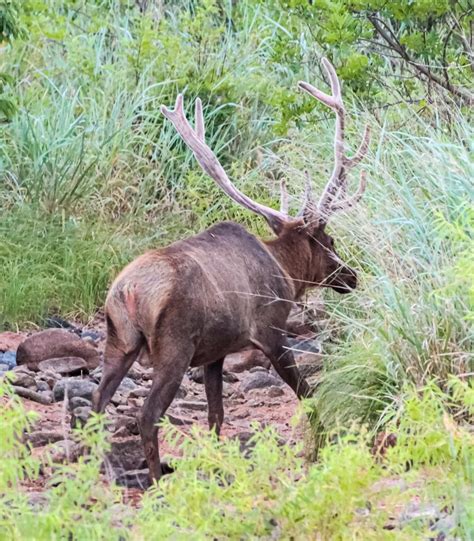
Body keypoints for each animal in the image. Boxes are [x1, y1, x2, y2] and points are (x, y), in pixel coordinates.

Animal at [91, 59, 370, 480]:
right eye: (331, 241)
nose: (351, 277)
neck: (287, 272)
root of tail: (127, 292)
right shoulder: (270, 330)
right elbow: (307, 395)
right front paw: (319, 448)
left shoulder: (215, 352)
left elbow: (216, 415)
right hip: (173, 346)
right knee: (147, 414)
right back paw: (155, 481)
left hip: (119, 341)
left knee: (95, 405)